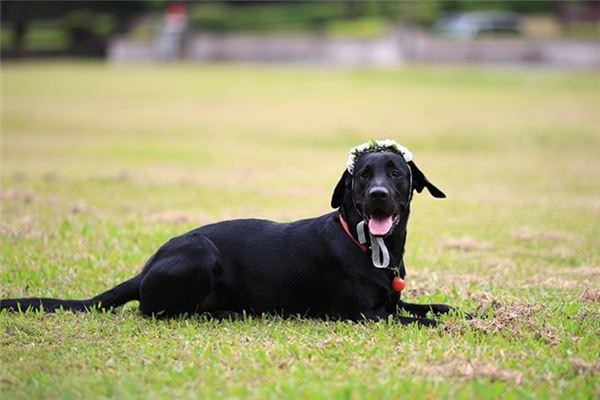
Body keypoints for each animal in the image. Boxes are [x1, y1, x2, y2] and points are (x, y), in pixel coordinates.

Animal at [1, 144, 460, 324]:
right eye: (362, 176)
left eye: (396, 173)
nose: (379, 195)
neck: (366, 245)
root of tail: (146, 268)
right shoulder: (368, 315)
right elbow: (424, 322)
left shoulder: (392, 303)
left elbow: (435, 308)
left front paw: (467, 314)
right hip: (201, 252)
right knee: (162, 312)